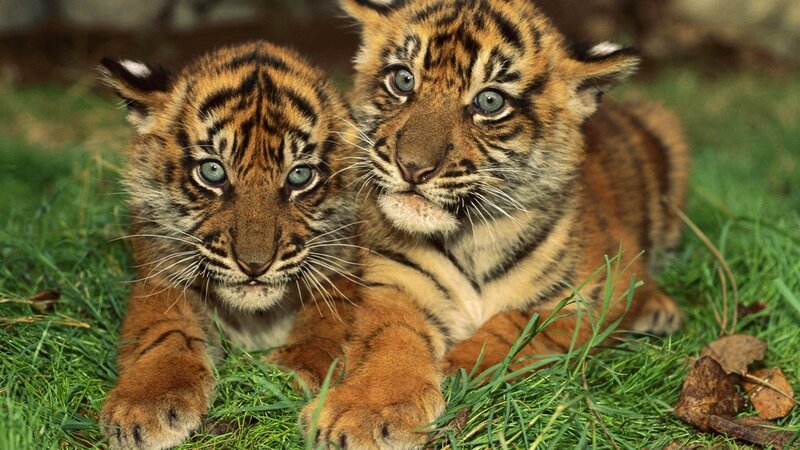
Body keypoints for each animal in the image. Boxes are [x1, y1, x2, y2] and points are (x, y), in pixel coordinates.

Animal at [98, 41, 361, 449]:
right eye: (213, 171)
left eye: (300, 176)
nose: (254, 265)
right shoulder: (159, 278)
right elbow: (164, 332)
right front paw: (143, 405)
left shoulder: (345, 274)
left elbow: (324, 327)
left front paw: (285, 375)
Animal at [301, 0, 689, 448]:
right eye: (402, 79)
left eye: (489, 101)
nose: (412, 168)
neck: (472, 236)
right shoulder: (396, 283)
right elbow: (391, 339)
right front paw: (364, 411)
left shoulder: (598, 287)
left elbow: (517, 324)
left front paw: (456, 368)